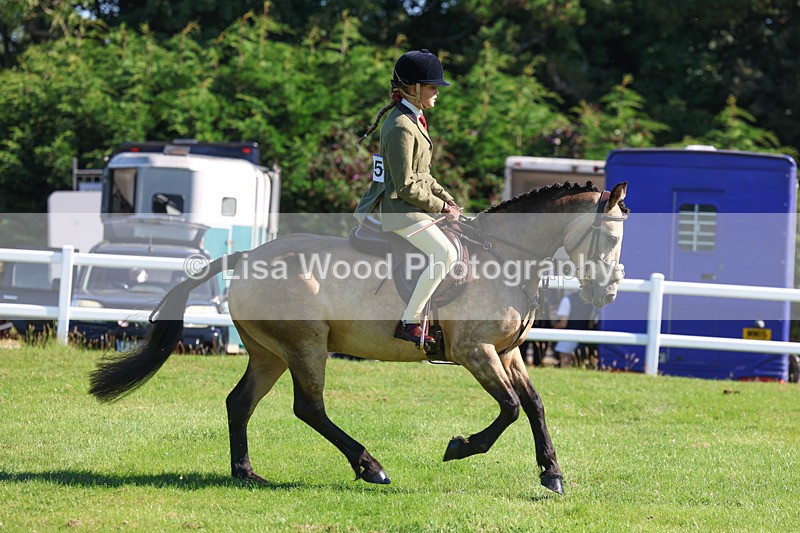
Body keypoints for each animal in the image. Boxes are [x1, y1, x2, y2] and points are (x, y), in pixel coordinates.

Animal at [89, 181, 629, 496]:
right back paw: (370, 466)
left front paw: (552, 473)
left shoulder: (508, 351)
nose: (604, 293)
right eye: (610, 236)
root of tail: (247, 257)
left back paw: (246, 473)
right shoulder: (475, 352)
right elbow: (511, 409)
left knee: (239, 403)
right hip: (306, 346)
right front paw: (459, 447)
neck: (504, 256)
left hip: (269, 353)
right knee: (309, 408)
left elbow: (534, 406)